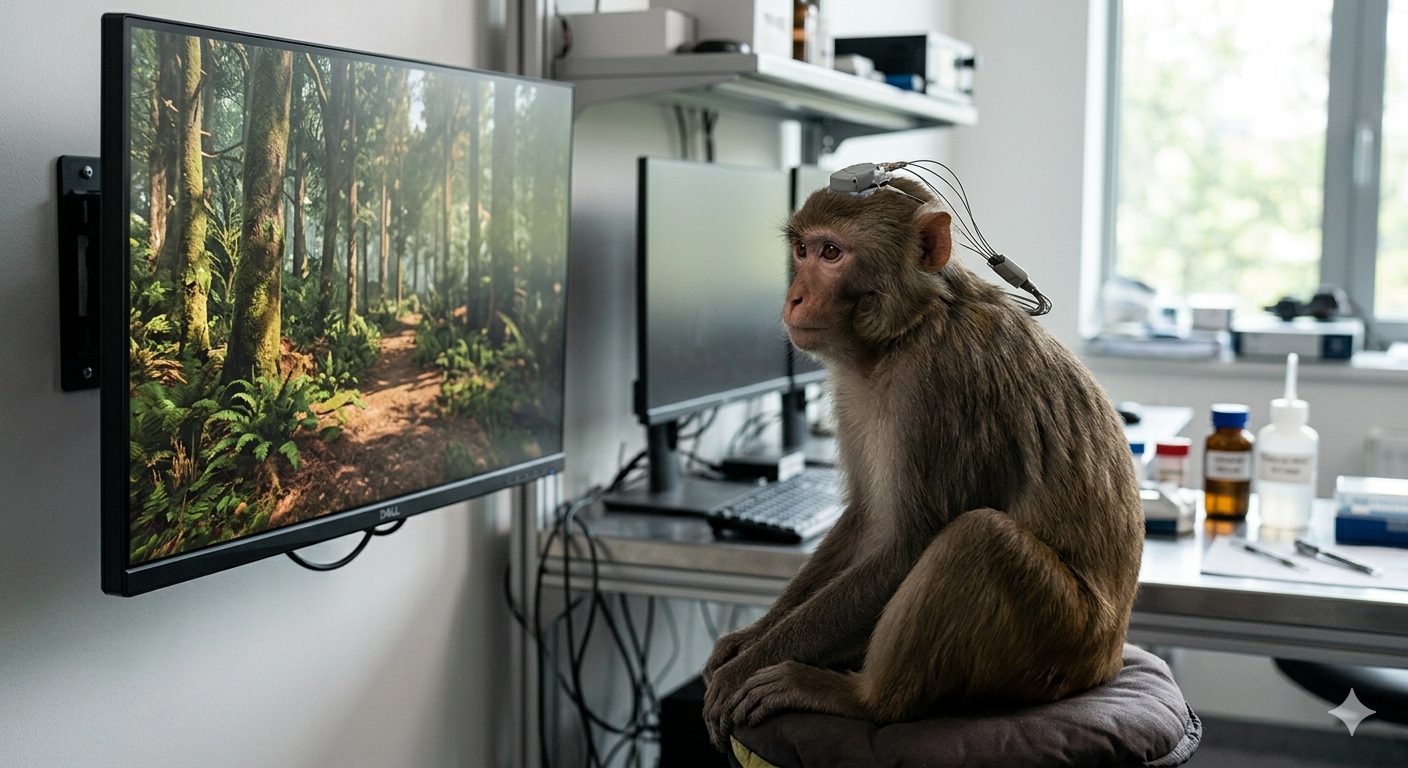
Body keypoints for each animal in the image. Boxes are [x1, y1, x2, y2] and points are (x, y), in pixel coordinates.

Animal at [699, 176, 1144, 751]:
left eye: (831, 253)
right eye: (801, 250)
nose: (794, 296)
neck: (905, 331)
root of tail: (1110, 658)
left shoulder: (938, 382)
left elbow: (906, 544)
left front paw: (743, 668)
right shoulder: (851, 388)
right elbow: (869, 521)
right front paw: (749, 639)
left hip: (1062, 642)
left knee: (979, 537)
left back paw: (859, 698)